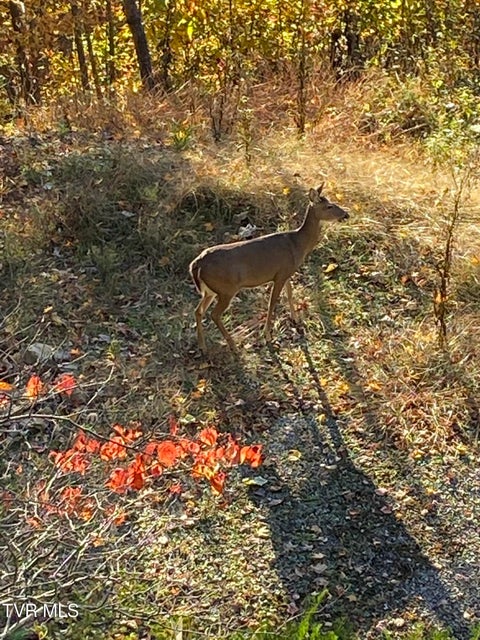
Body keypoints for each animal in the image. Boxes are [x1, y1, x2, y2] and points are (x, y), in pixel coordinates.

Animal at [189, 185, 349, 353]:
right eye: (329, 206)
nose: (346, 214)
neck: (298, 244)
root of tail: (197, 264)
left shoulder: (287, 272)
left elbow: (290, 294)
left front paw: (295, 319)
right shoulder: (279, 274)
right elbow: (272, 303)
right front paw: (267, 336)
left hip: (211, 291)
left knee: (198, 311)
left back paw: (202, 345)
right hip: (226, 288)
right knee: (214, 314)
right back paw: (232, 345)